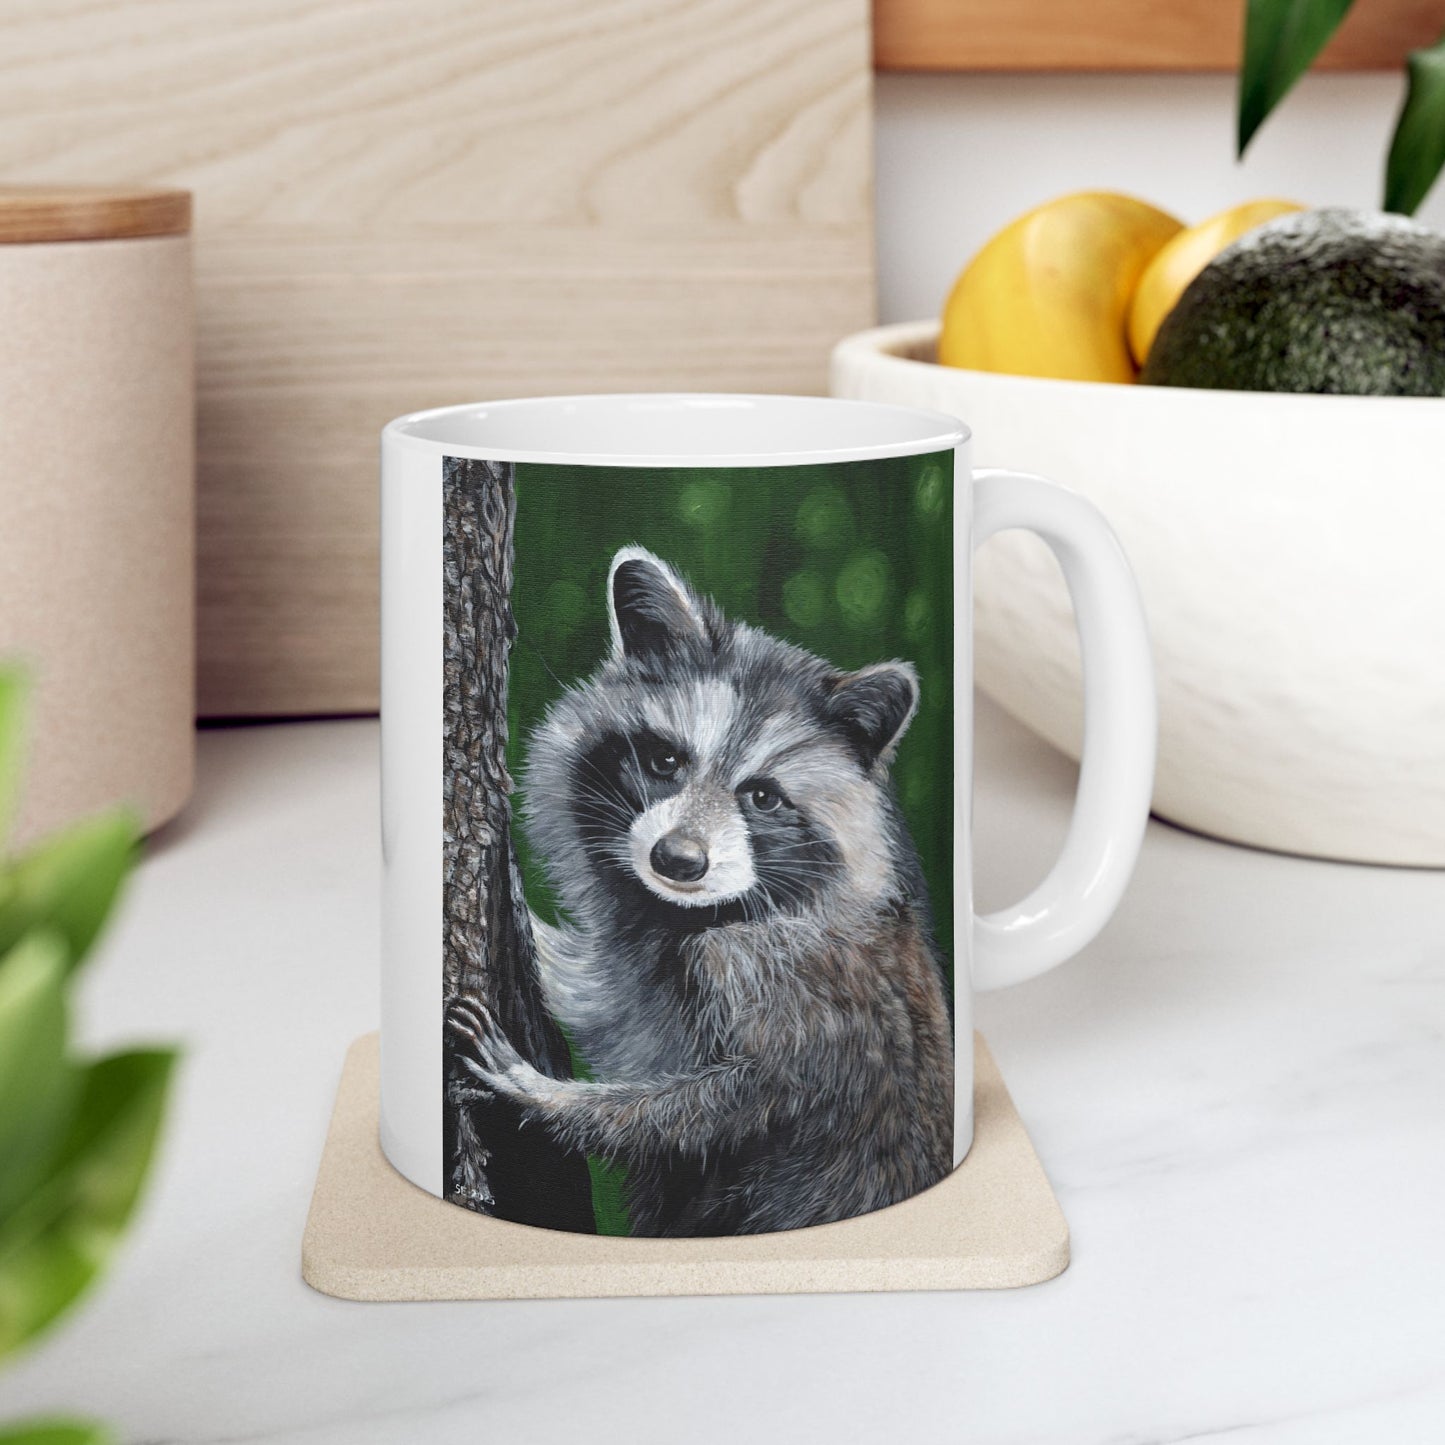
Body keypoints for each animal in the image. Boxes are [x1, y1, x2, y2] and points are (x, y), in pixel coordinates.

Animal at [447, 546, 953, 1236]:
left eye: (762, 797)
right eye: (665, 761)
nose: (678, 860)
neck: (695, 913)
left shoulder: (786, 983)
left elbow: (725, 1105)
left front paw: (545, 1096)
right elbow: (604, 999)